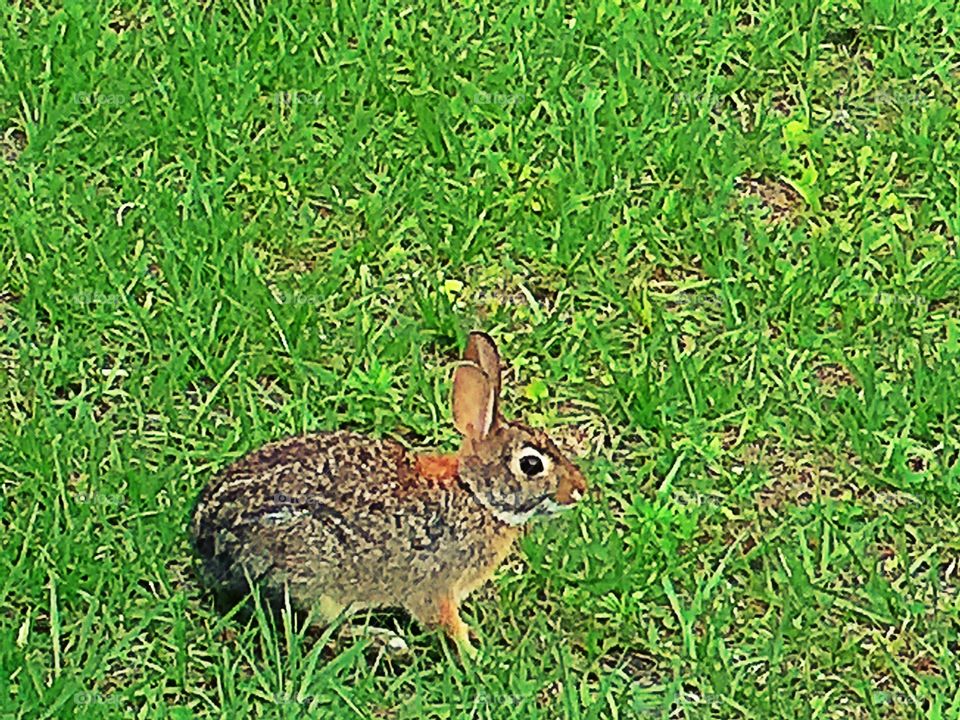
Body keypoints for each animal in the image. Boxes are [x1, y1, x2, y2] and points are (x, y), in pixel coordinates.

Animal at [190, 331, 587, 656]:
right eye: (531, 464)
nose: (579, 491)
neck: (476, 495)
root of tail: (207, 545)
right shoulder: (436, 586)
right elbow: (444, 623)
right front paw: (474, 653)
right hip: (313, 571)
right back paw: (387, 642)